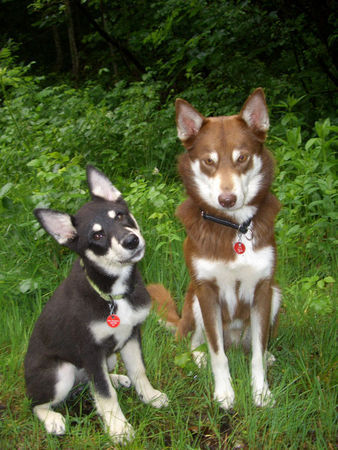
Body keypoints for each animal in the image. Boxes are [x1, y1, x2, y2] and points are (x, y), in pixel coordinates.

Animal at [23, 165, 168, 442]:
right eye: (98, 235)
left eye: (120, 216)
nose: (131, 241)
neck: (112, 295)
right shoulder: (90, 351)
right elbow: (105, 394)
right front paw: (119, 429)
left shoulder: (131, 335)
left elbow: (138, 370)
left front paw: (150, 396)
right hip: (61, 372)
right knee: (37, 404)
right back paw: (52, 420)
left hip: (106, 359)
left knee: (93, 382)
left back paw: (118, 379)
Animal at [148, 87, 280, 408]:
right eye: (209, 161)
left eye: (242, 157)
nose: (227, 199)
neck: (232, 227)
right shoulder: (206, 290)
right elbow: (217, 353)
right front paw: (224, 393)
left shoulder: (263, 287)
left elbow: (257, 352)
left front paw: (261, 392)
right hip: (193, 302)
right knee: (193, 345)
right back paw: (199, 360)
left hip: (277, 295)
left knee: (252, 347)